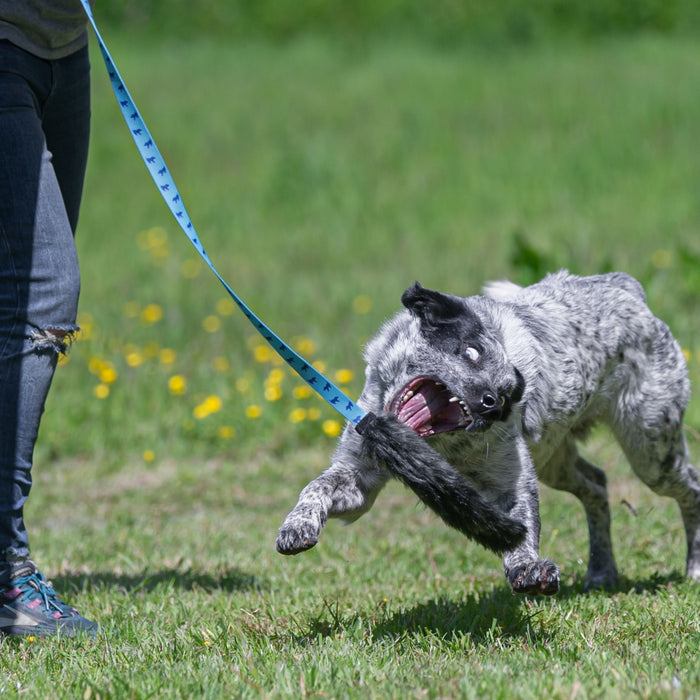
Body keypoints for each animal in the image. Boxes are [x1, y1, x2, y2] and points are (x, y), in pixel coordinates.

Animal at [276, 270, 696, 592]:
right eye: (470, 351)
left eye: (509, 395)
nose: (492, 403)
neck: (442, 449)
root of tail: (626, 286)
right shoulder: (359, 477)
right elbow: (316, 487)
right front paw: (296, 526)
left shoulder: (511, 482)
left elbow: (523, 528)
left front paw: (528, 568)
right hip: (556, 460)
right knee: (596, 483)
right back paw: (602, 571)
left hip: (651, 450)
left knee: (691, 486)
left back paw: (693, 568)